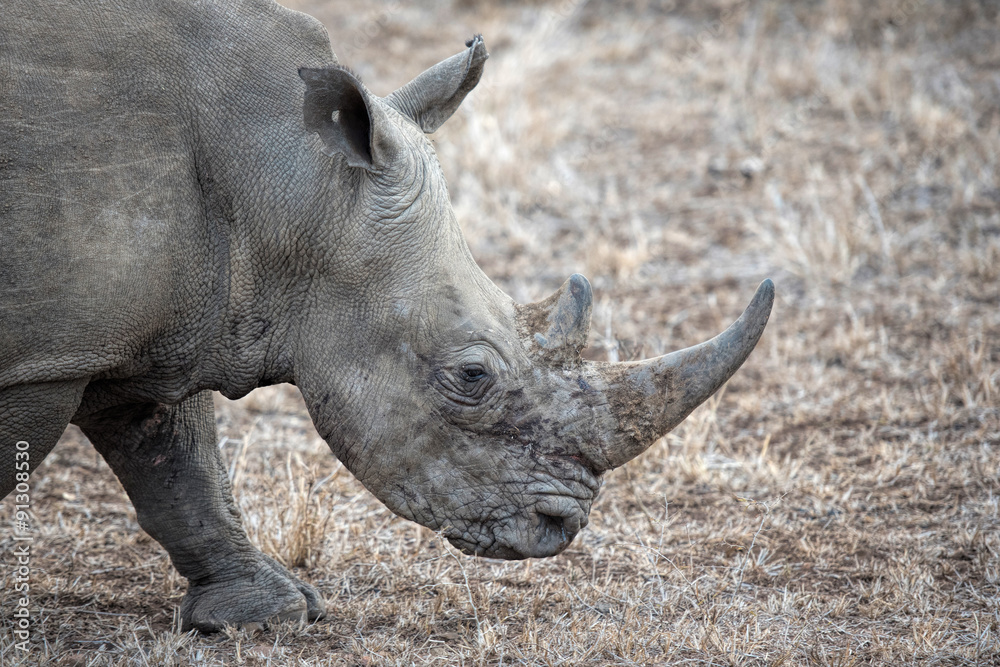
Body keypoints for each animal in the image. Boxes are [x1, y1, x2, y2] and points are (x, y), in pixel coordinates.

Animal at [0, 0, 773, 632]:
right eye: (472, 375)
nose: (561, 525)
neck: (283, 173)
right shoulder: (48, 359)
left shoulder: (151, 326)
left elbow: (179, 464)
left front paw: (266, 614)